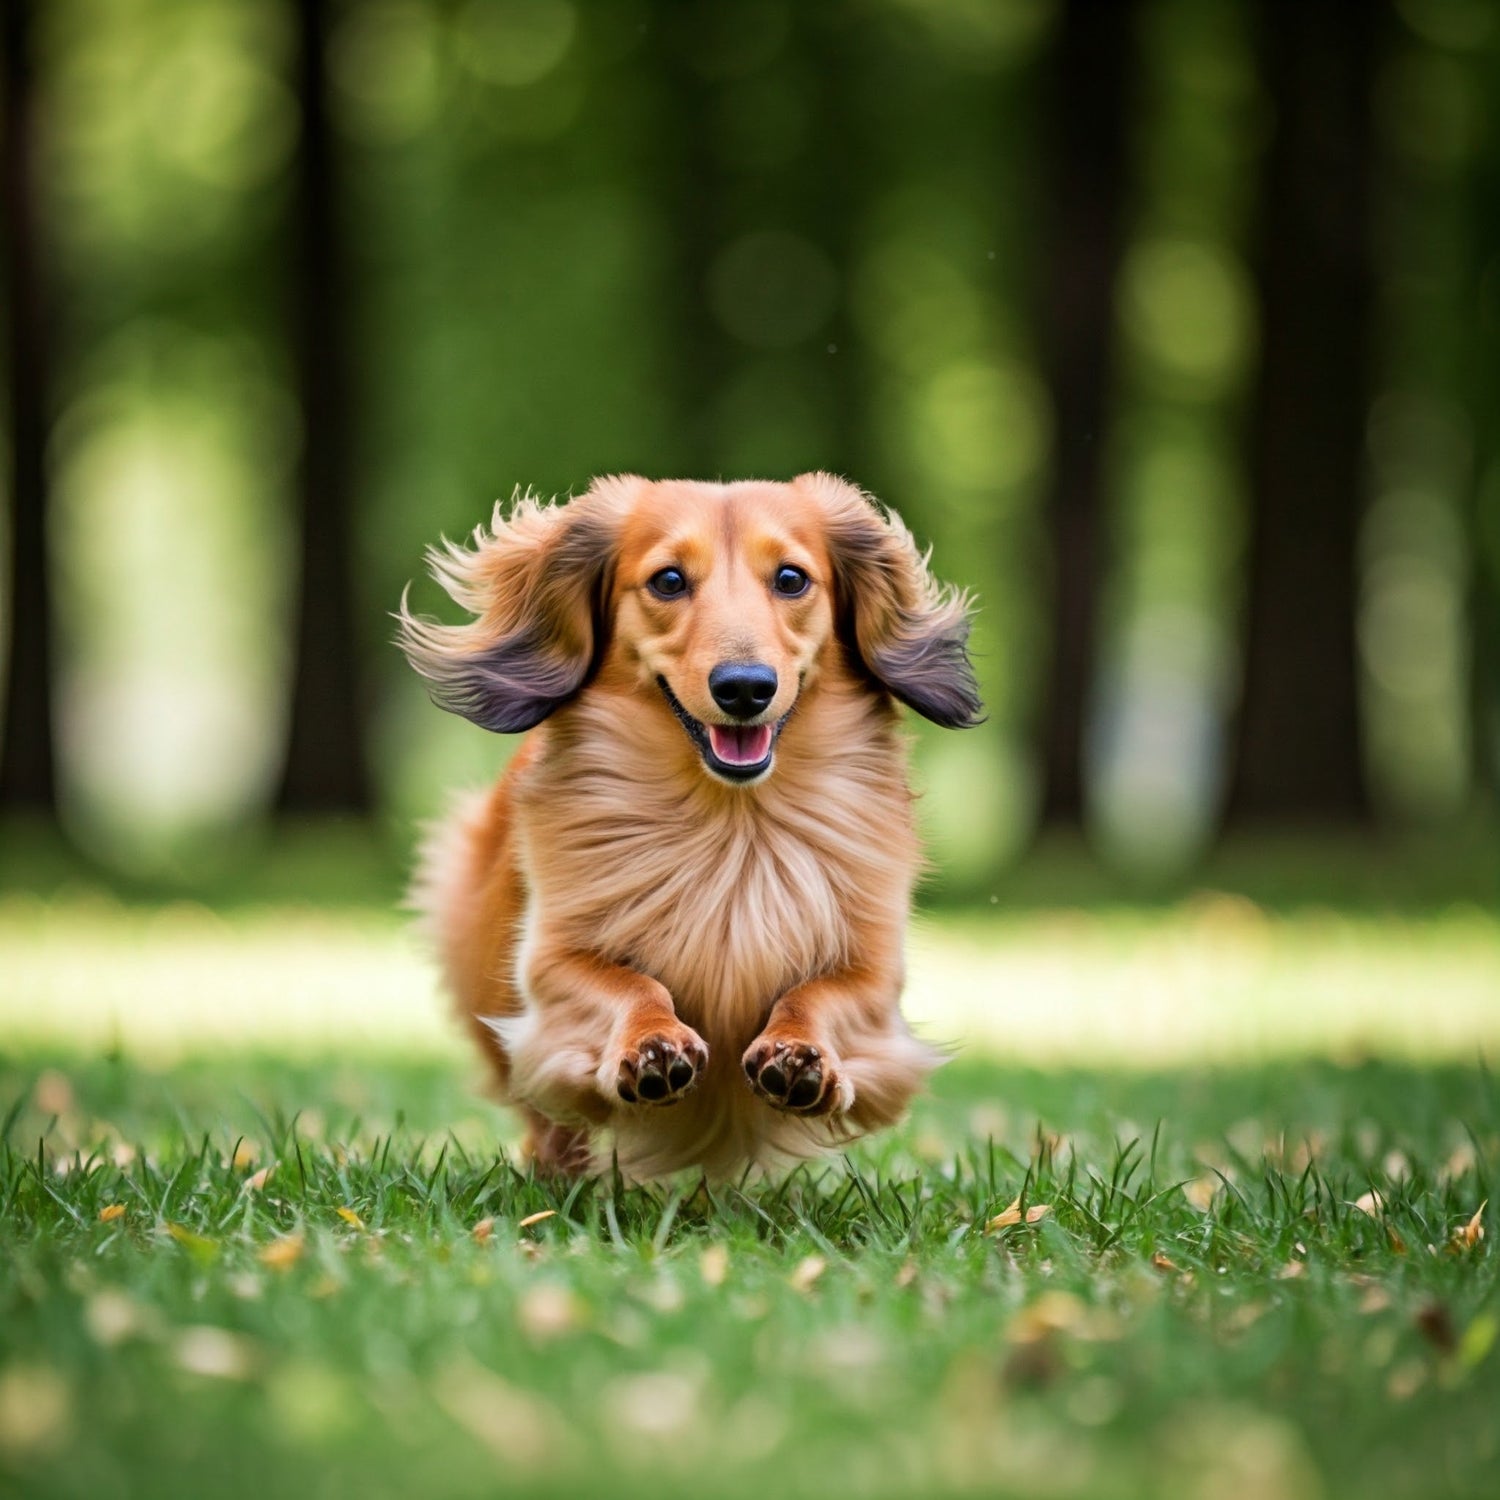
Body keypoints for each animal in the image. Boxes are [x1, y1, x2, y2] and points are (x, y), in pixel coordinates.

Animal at [399, 474, 984, 1176]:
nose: (745, 688)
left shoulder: (874, 975)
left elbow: (817, 995)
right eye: (669, 580)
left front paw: (799, 1056)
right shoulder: (551, 965)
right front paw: (652, 1046)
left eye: (791, 578)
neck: (732, 824)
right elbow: (629, 984)